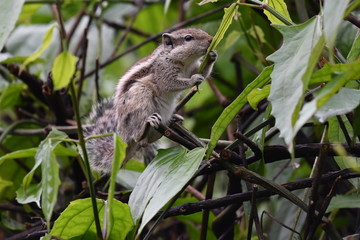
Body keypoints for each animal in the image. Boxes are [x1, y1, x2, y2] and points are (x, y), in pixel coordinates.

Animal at [84, 28, 217, 173]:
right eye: (188, 38)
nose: (211, 39)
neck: (184, 61)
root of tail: (124, 137)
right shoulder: (163, 71)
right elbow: (169, 83)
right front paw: (193, 80)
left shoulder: (192, 68)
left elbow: (203, 72)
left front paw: (212, 56)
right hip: (141, 95)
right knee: (138, 138)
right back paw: (144, 128)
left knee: (148, 140)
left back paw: (172, 120)